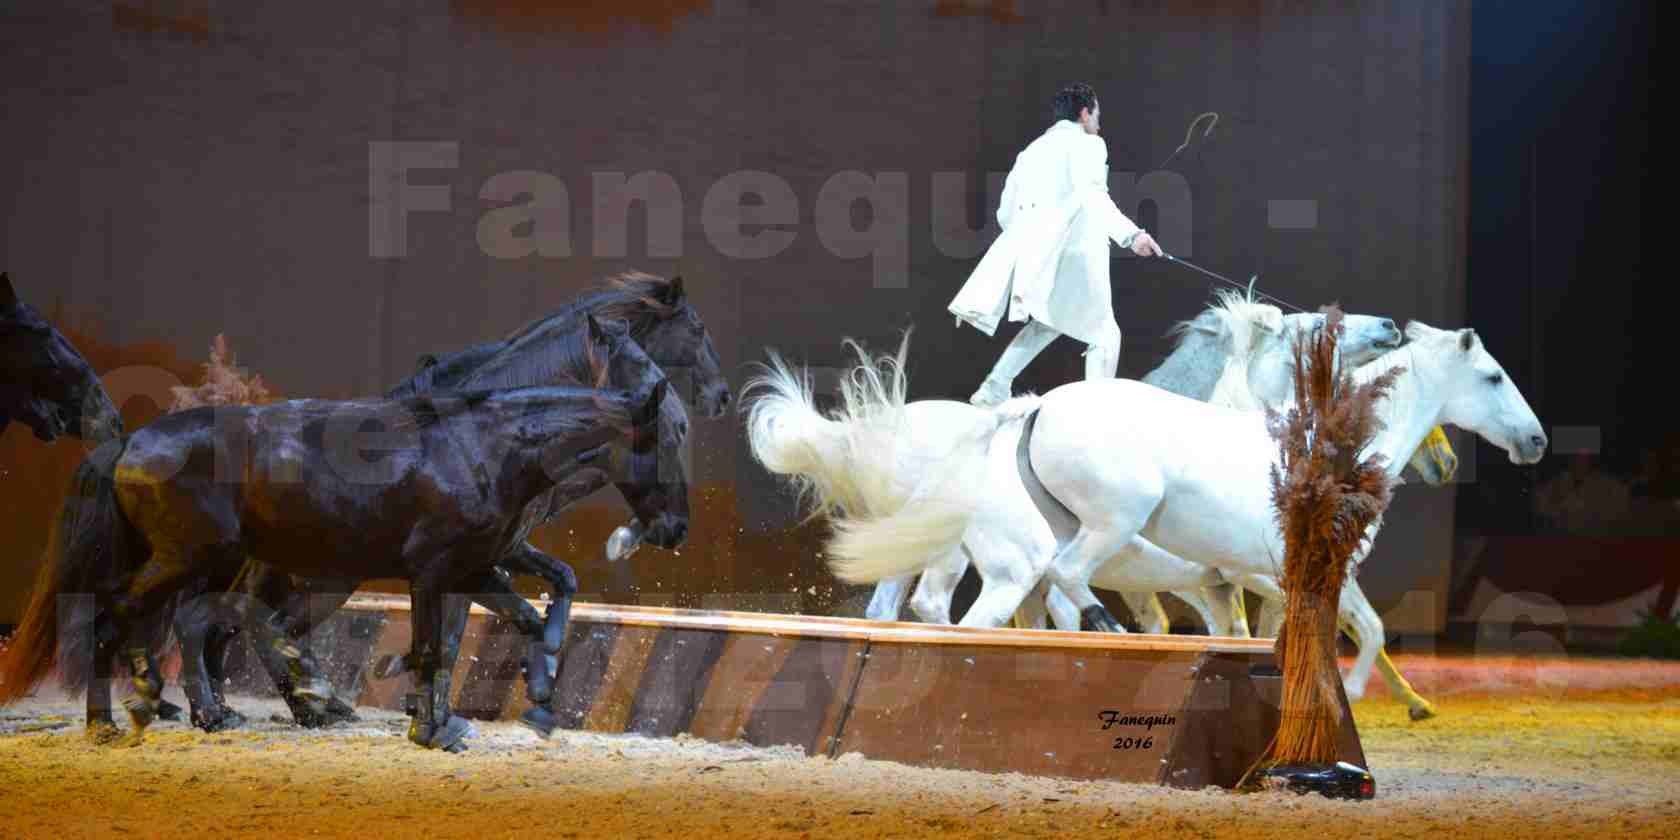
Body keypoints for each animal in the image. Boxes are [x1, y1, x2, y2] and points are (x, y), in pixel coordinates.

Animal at [0, 337, 675, 752]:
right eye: (669, 437)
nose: (673, 528)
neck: (486, 445)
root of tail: (130, 443)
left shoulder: (481, 565)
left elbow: (530, 612)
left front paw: (527, 703)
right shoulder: (441, 571)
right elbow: (438, 643)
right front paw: (434, 726)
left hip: (211, 564)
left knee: (192, 625)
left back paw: (205, 709)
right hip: (193, 562)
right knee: (130, 618)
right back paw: (120, 718)